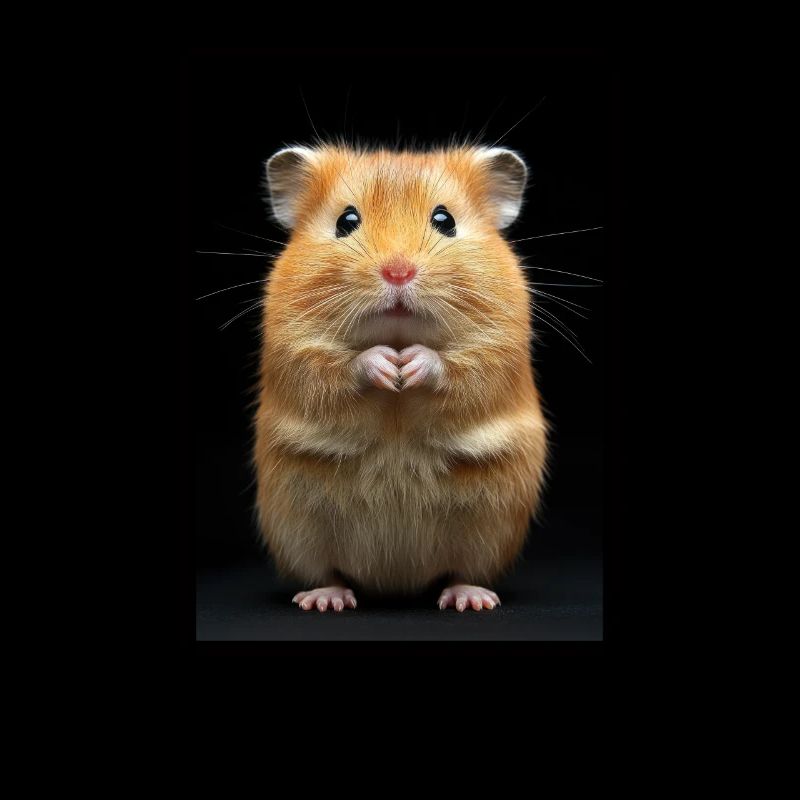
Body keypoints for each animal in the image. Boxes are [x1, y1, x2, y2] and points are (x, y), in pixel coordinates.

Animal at [254, 143, 548, 612]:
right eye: (346, 221)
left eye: (444, 220)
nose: (397, 272)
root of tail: (394, 583)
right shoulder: (293, 345)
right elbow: (330, 366)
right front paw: (386, 367)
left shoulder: (499, 347)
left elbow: (465, 368)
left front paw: (409, 365)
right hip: (296, 527)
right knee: (327, 572)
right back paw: (326, 599)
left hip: (491, 527)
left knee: (462, 572)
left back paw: (470, 599)